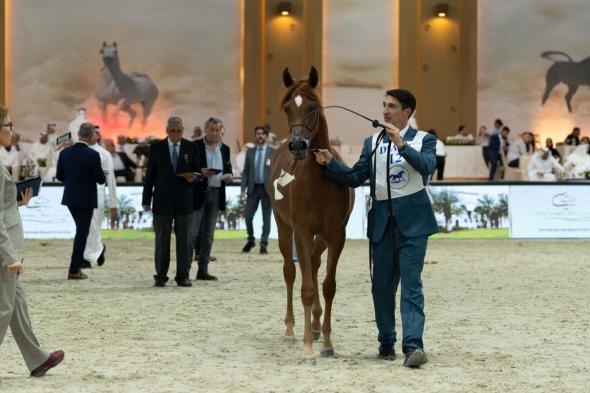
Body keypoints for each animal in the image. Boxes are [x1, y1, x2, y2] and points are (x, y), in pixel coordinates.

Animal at [270, 67, 354, 358]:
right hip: (284, 228)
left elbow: (328, 286)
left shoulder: (336, 234)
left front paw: (327, 341)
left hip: (323, 237)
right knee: (290, 272)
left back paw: (316, 325)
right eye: (286, 107)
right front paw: (307, 344)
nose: (298, 146)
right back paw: (291, 329)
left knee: (315, 265)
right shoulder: (303, 232)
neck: (319, 178)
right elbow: (306, 287)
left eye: (314, 107)